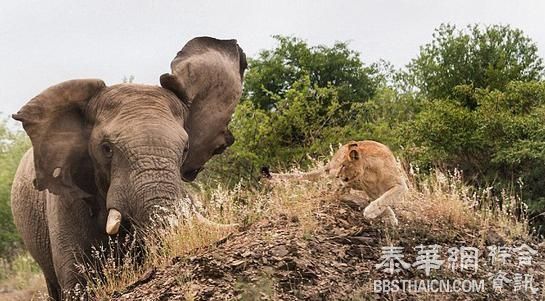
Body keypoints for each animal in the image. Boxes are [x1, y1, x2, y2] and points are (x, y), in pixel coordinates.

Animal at [262, 139, 406, 224]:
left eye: (344, 165)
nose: (338, 175)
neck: (369, 171)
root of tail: (331, 162)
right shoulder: (371, 191)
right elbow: (383, 202)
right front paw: (382, 215)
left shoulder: (400, 185)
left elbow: (385, 199)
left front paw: (379, 214)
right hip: (341, 182)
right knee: (336, 192)